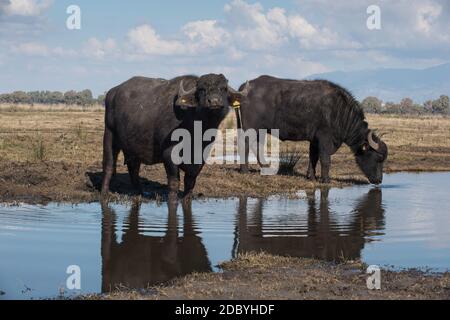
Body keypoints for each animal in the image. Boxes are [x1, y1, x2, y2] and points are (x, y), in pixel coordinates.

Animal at [102, 74, 250, 198]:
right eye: (202, 89)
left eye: (223, 89)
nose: (214, 101)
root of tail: (112, 92)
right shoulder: (169, 155)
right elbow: (173, 184)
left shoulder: (199, 160)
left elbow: (190, 184)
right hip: (109, 135)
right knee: (109, 166)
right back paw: (104, 194)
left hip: (134, 147)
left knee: (133, 169)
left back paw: (139, 193)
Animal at [237, 75, 388, 185]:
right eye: (378, 158)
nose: (379, 180)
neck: (338, 112)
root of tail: (245, 88)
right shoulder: (324, 139)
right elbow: (325, 160)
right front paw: (326, 180)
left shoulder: (314, 140)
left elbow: (313, 157)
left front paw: (311, 176)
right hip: (250, 129)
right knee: (245, 145)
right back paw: (244, 170)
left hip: (260, 130)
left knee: (257, 146)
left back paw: (265, 167)